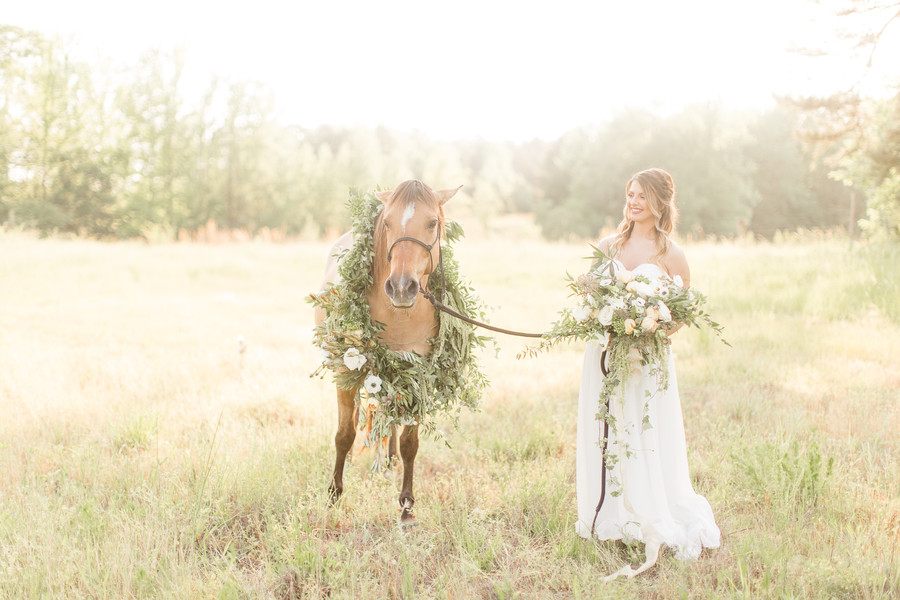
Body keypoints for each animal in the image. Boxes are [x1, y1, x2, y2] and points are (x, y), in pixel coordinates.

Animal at [312, 179, 460, 524]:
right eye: (388, 222)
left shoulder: (419, 376)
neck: (400, 315)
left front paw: (406, 504)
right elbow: (344, 434)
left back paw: (391, 461)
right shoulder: (346, 372)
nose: (402, 288)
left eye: (432, 223)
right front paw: (334, 494)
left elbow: (410, 443)